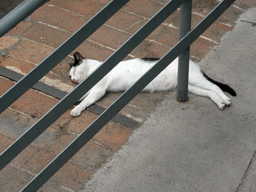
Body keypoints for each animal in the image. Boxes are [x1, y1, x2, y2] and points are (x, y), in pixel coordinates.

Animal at [68, 51, 236, 116]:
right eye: (70, 76)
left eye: (74, 72)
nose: (74, 80)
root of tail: (192, 63)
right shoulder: (91, 90)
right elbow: (82, 96)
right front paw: (75, 100)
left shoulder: (99, 90)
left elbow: (86, 100)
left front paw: (76, 109)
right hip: (190, 86)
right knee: (210, 92)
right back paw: (220, 103)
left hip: (196, 79)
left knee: (214, 86)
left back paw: (226, 100)